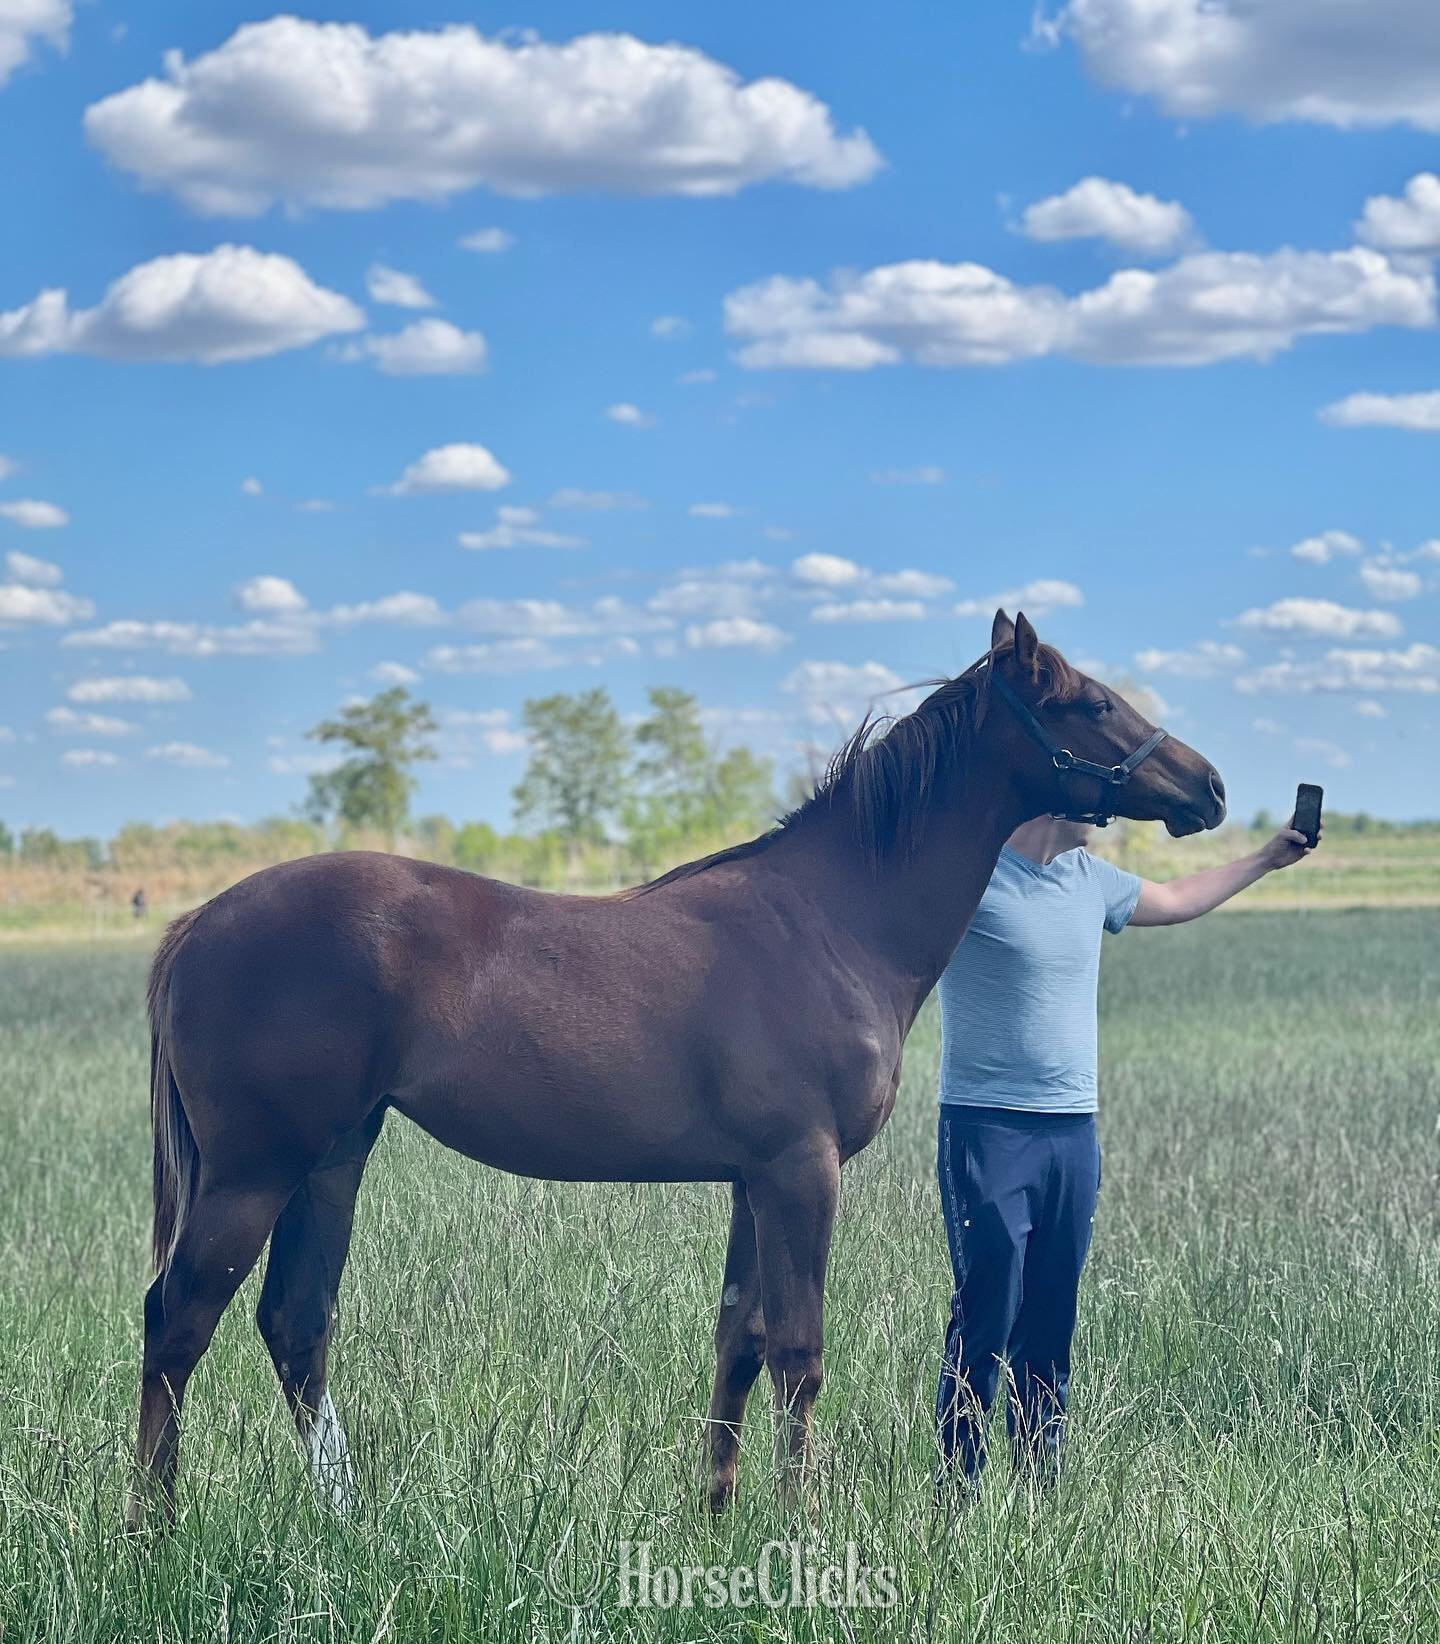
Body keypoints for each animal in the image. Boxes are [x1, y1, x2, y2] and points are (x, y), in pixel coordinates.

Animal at [126, 610, 1226, 1528]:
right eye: (1091, 702)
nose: (1207, 785)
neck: (835, 918)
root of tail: (197, 924)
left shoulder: (752, 1179)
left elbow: (739, 1342)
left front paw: (718, 1513)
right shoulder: (800, 1172)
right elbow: (799, 1352)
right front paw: (796, 1522)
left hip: (332, 1161)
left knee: (294, 1323)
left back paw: (346, 1521)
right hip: (255, 1173)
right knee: (178, 1321)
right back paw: (152, 1529)